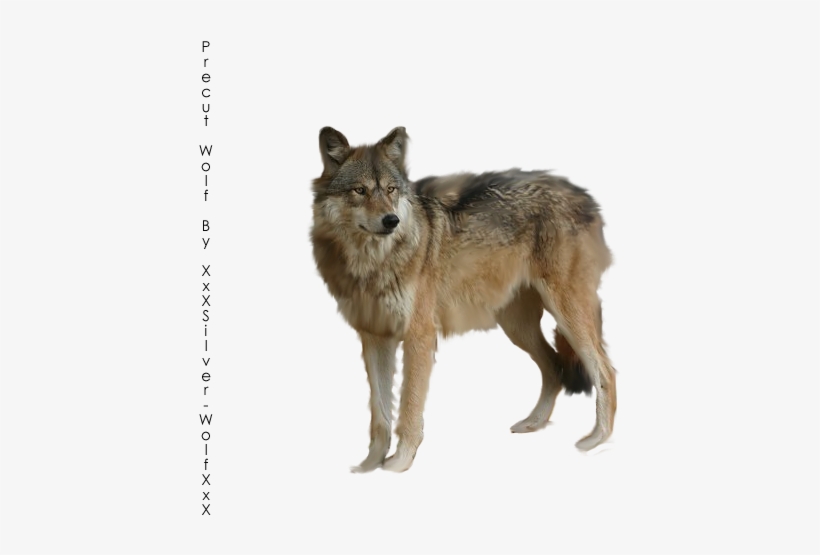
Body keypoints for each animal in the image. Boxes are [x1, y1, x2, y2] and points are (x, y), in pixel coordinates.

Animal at [311, 127, 616, 472]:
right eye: (360, 190)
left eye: (390, 189)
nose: (391, 221)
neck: (373, 262)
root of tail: (585, 196)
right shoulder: (375, 338)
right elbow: (380, 413)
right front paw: (368, 466)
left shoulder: (419, 336)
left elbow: (409, 407)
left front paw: (398, 464)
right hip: (517, 326)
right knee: (554, 366)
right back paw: (533, 424)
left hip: (566, 314)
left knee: (604, 371)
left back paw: (594, 440)